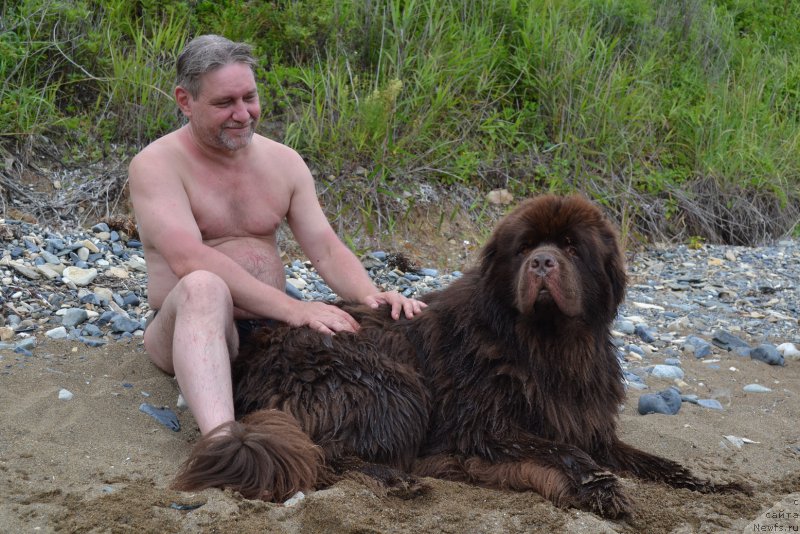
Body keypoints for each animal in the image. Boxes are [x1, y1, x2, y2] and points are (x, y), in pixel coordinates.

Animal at [172, 195, 748, 520]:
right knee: (324, 454)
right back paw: (399, 479)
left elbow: (653, 461)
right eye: (525, 248)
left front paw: (713, 484)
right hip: (391, 385)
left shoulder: (589, 425)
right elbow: (563, 452)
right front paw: (599, 489)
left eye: (570, 247)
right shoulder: (484, 427)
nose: (542, 263)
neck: (546, 347)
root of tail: (255, 348)